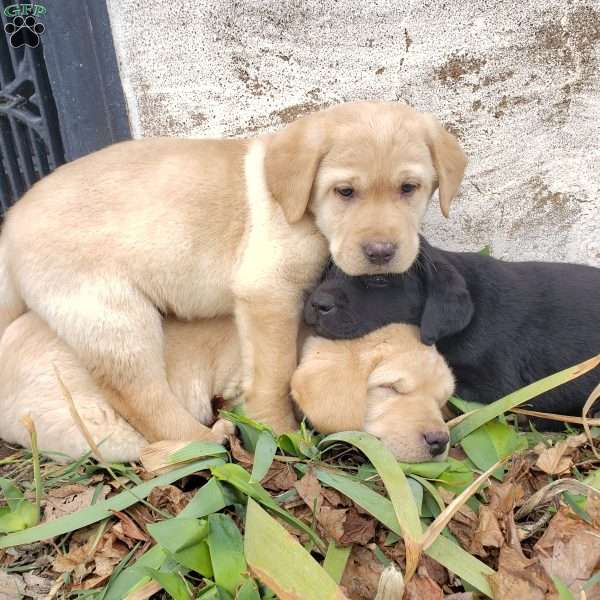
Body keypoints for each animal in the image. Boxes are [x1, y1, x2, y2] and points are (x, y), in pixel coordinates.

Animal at [0, 102, 466, 440]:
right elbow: (276, 372)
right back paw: (202, 441)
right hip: (114, 315)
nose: (381, 251)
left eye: (409, 188)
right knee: (142, 399)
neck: (302, 210)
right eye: (345, 192)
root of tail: (11, 223)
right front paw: (279, 433)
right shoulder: (269, 293)